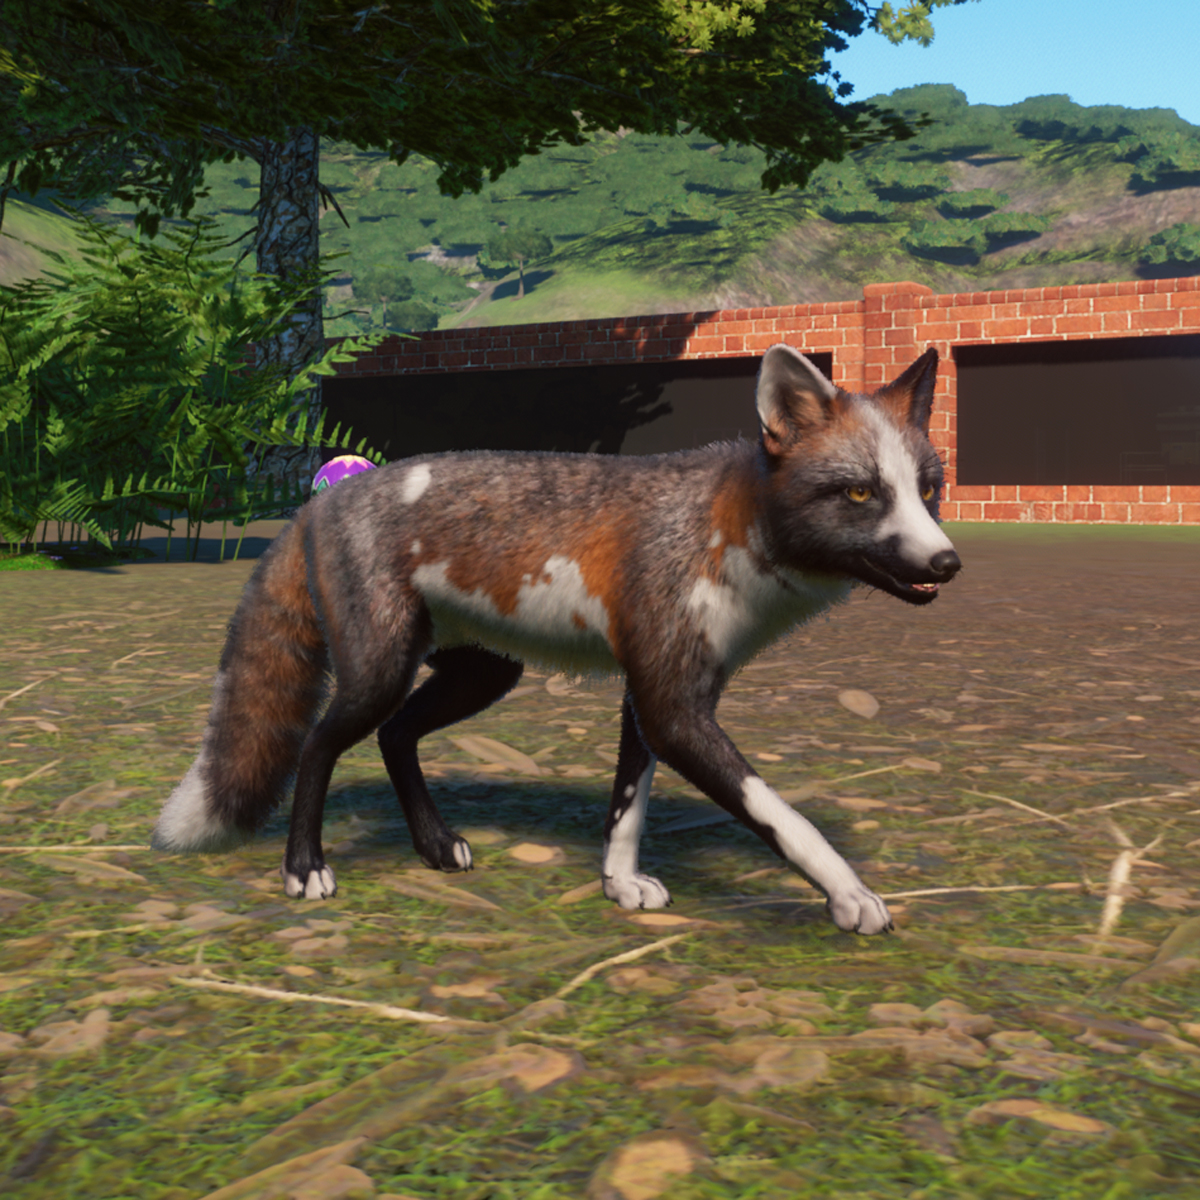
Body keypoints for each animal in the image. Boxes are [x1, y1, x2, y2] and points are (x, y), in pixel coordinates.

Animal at [152, 344, 960, 935]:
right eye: (860, 493)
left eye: (928, 489)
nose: (948, 563)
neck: (723, 531)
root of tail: (320, 502)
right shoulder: (674, 707)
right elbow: (782, 816)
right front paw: (848, 895)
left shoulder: (652, 698)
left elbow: (627, 805)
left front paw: (620, 883)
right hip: (380, 671)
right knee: (319, 745)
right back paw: (303, 867)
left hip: (480, 676)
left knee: (395, 736)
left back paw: (434, 847)